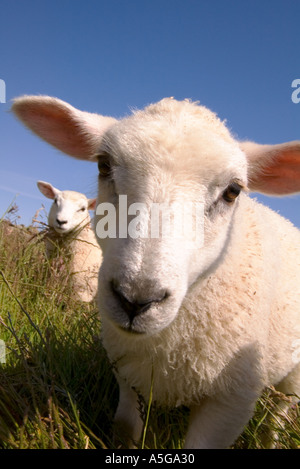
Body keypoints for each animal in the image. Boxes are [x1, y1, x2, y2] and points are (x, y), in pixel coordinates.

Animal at [12, 96, 300, 450]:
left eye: (233, 191)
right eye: (103, 165)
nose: (135, 300)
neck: (166, 349)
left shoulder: (231, 400)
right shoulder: (126, 370)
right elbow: (125, 426)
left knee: (280, 410)